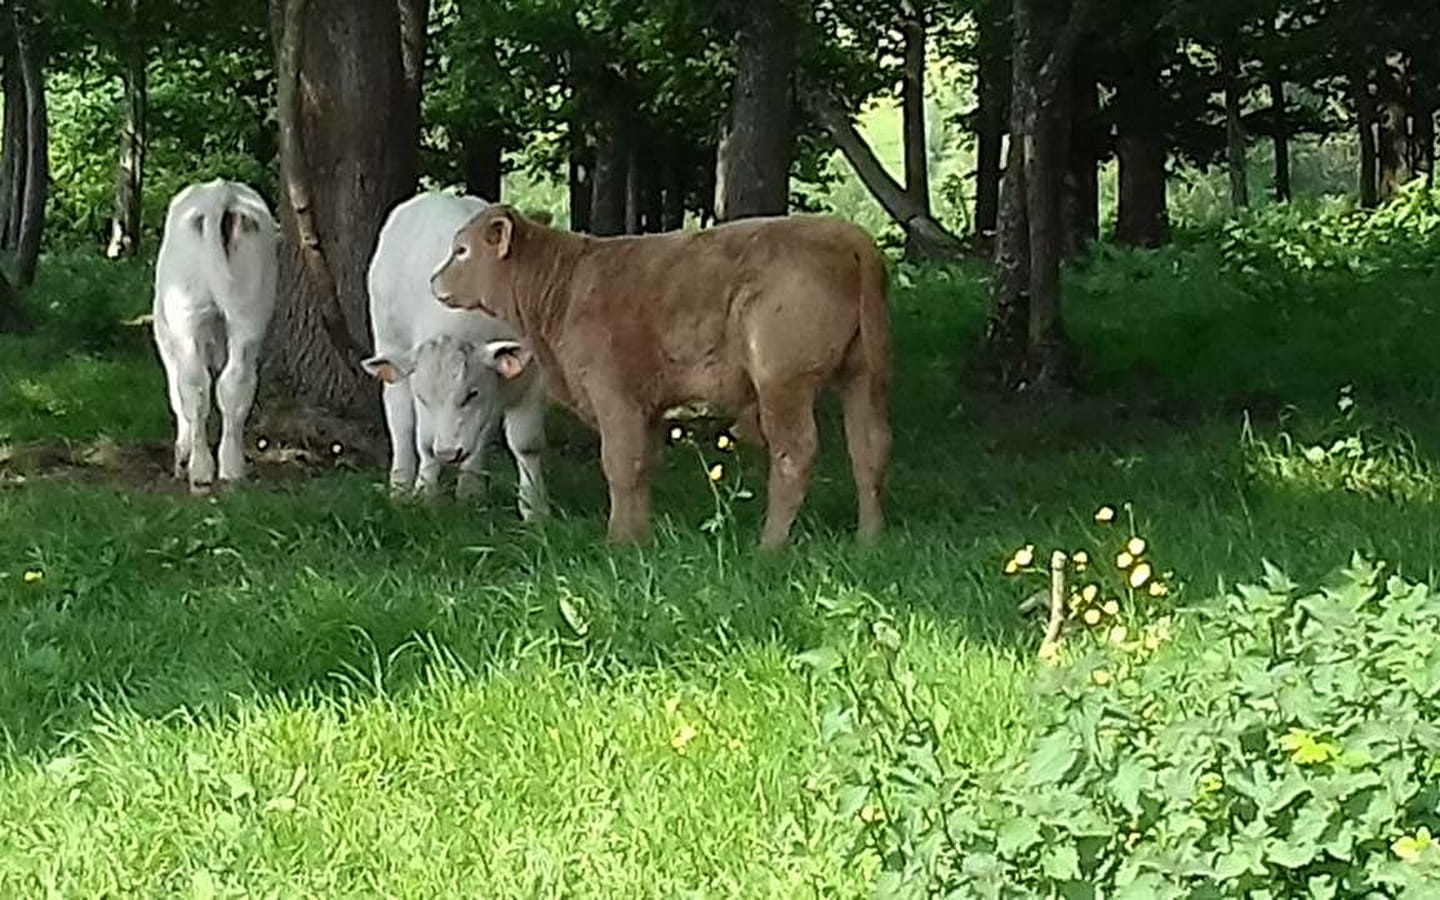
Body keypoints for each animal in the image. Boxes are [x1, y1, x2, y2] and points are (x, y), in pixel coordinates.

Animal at [151, 177, 277, 492]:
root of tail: (221, 192)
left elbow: (177, 395)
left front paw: (181, 455)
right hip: (250, 311)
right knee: (234, 382)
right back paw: (231, 467)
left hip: (185, 314)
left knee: (194, 386)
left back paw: (199, 469)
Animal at [362, 194, 547, 524]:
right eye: (423, 397)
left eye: (471, 393)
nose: (448, 453)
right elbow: (424, 442)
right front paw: (425, 495)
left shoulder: (530, 376)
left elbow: (525, 444)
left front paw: (534, 510)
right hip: (389, 342)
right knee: (401, 423)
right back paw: (400, 486)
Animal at [426, 207, 887, 547]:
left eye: (461, 250)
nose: (433, 280)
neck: (565, 288)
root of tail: (848, 236)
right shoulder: (646, 405)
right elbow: (642, 466)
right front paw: (640, 537)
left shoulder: (614, 395)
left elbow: (619, 466)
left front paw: (617, 541)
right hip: (863, 375)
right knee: (868, 449)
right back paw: (869, 539)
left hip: (782, 381)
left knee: (795, 454)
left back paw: (770, 546)